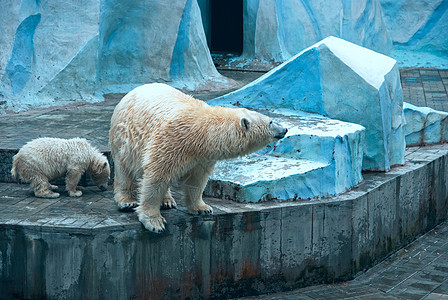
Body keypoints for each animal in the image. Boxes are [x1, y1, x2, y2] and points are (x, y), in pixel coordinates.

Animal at [110, 83, 288, 233]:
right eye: (271, 122)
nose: (285, 129)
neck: (202, 132)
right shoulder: (171, 141)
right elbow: (157, 176)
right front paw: (154, 222)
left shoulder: (202, 156)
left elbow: (196, 180)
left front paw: (202, 208)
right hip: (124, 137)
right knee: (123, 169)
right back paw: (127, 201)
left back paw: (167, 200)